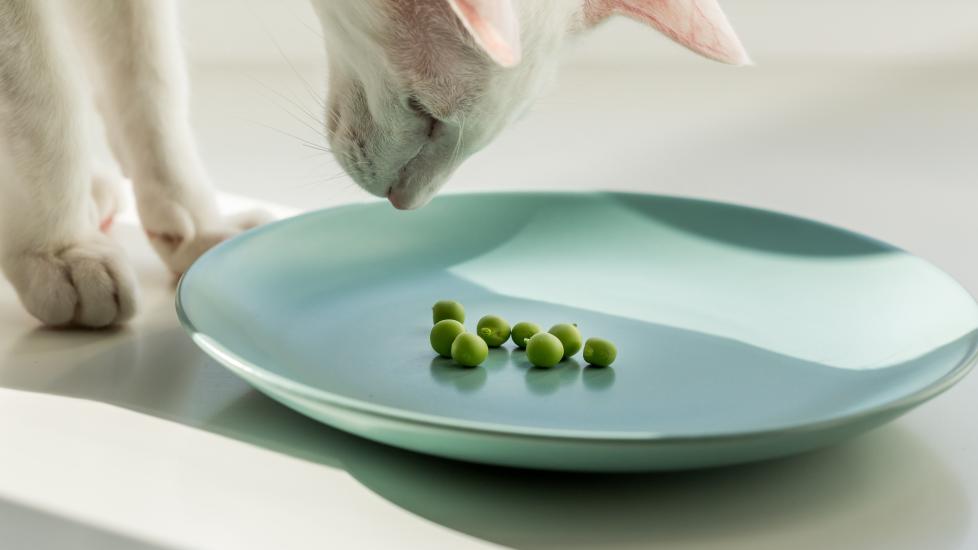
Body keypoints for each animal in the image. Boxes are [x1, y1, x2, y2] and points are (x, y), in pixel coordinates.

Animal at [0, 0, 740, 328]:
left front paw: (195, 224)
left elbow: (148, 76)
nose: (409, 204)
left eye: (489, 140)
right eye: (427, 113)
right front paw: (59, 248)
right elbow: (39, 93)